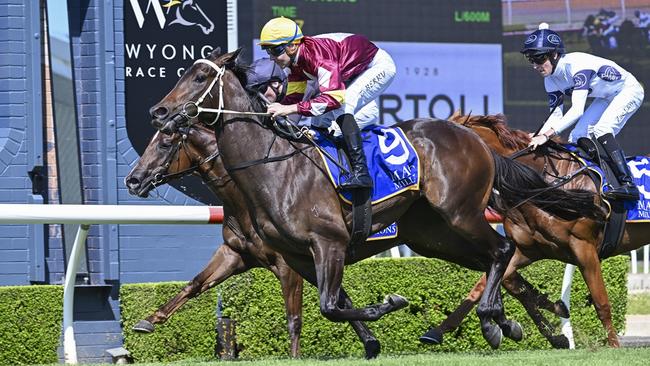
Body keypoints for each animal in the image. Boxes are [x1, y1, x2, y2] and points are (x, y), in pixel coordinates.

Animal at [147, 48, 604, 348]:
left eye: (200, 77)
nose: (159, 111)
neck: (273, 166)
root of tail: (471, 136)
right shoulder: (294, 256)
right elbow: (330, 304)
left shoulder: (326, 243)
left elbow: (329, 306)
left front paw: (390, 303)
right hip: (433, 235)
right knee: (498, 263)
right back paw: (515, 322)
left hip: (460, 213)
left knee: (502, 251)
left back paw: (498, 321)